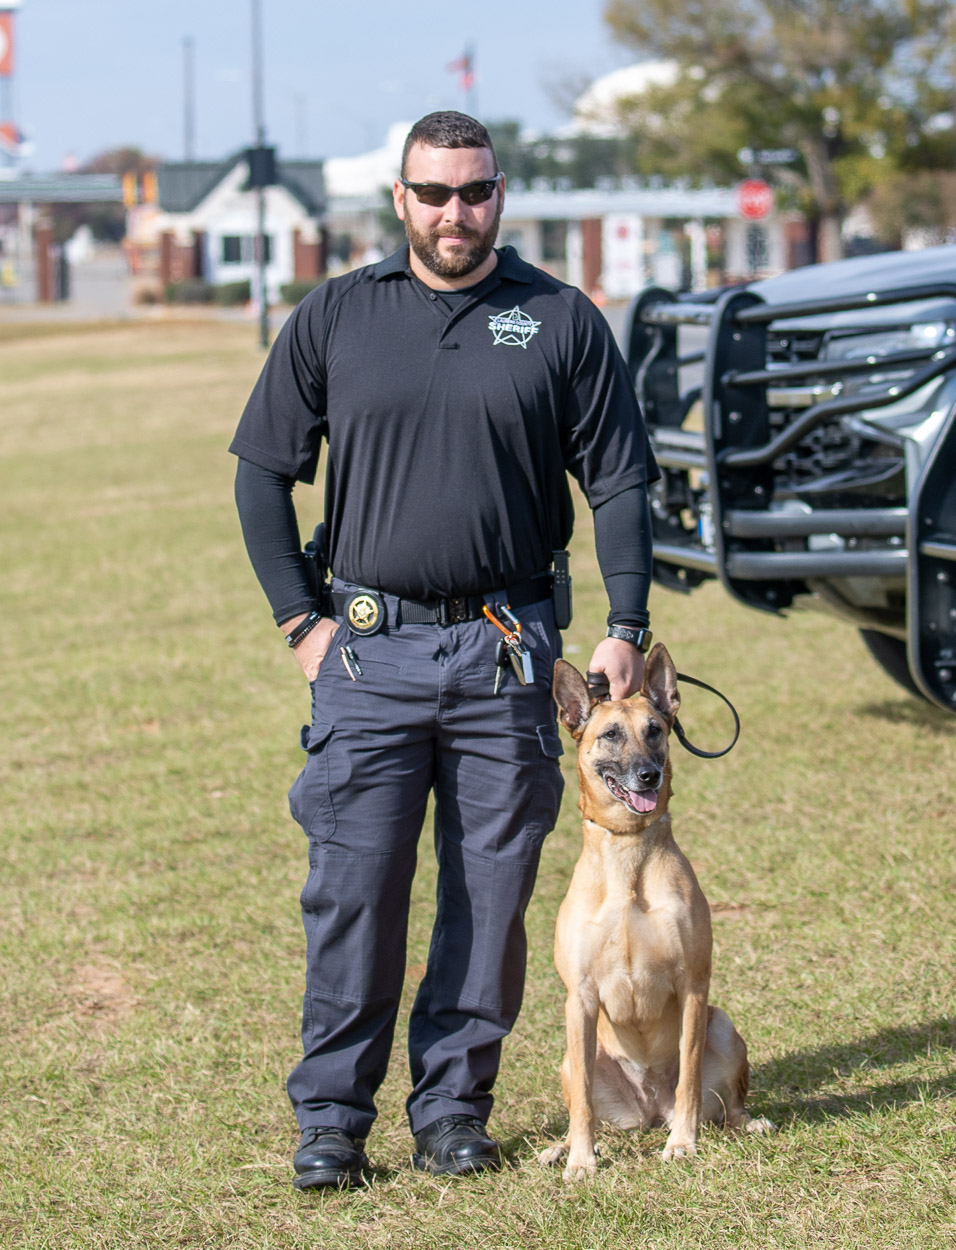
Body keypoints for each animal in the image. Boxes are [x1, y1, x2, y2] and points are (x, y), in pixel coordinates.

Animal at [539, 644, 773, 1182]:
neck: (628, 851)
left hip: (722, 1025)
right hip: (571, 1055)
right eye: (610, 735)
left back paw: (743, 1123)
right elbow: (584, 1104)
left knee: (726, 1106)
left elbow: (688, 1076)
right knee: (585, 1102)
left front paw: (682, 1143)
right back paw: (565, 1146)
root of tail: (649, 1109)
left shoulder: (693, 987)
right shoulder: (579, 997)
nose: (650, 774)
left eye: (656, 730)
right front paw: (581, 1160)